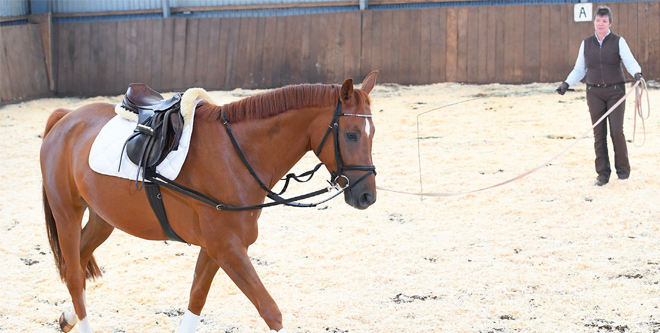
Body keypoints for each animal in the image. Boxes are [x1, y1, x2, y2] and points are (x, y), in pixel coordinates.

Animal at [41, 70, 378, 332]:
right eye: (351, 134)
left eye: (372, 133)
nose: (367, 196)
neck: (237, 154)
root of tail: (66, 117)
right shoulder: (226, 248)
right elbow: (270, 311)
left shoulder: (215, 248)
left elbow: (196, 300)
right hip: (67, 212)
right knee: (74, 274)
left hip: (103, 218)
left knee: (77, 262)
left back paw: (68, 315)